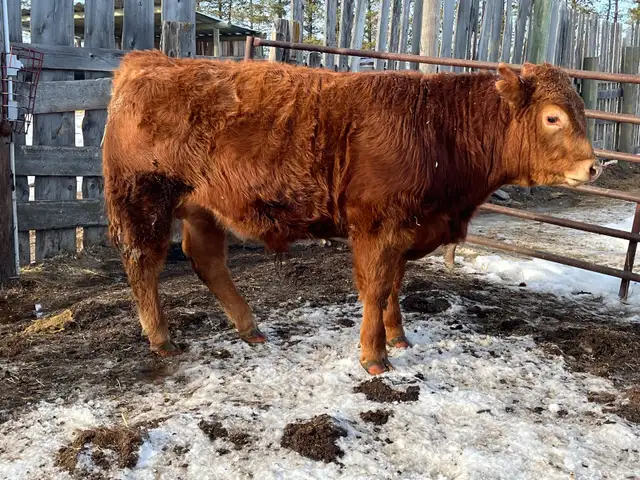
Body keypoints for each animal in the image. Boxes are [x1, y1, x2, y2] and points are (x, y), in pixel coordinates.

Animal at [102, 50, 601, 375]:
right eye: (553, 117)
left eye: (580, 110)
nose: (593, 166)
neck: (437, 127)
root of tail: (149, 61)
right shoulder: (377, 227)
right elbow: (376, 287)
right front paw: (375, 357)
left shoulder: (405, 227)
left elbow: (395, 284)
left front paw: (398, 336)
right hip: (144, 198)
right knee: (143, 262)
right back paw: (162, 339)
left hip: (201, 206)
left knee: (206, 259)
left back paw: (250, 329)